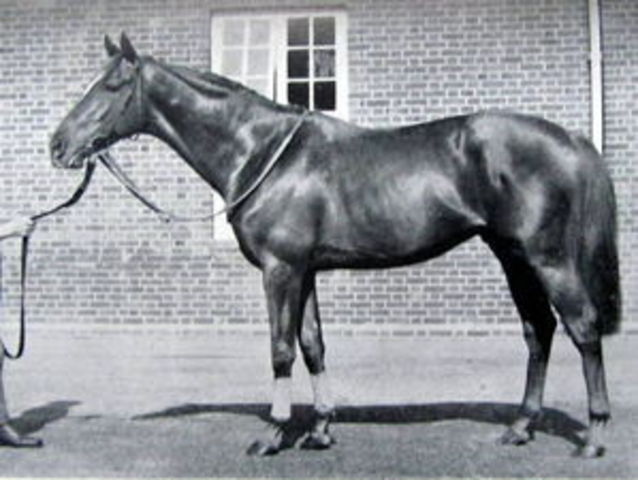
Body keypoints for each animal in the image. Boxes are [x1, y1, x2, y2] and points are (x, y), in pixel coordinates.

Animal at [49, 33, 620, 458]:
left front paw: (272, 434)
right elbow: (313, 345)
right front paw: (321, 430)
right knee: (538, 330)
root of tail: (570, 138)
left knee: (582, 328)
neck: (261, 152)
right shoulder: (305, 271)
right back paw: (521, 427)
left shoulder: (280, 269)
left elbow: (281, 349)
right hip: (513, 256)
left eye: (113, 85)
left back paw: (594, 436)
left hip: (547, 258)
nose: (58, 145)